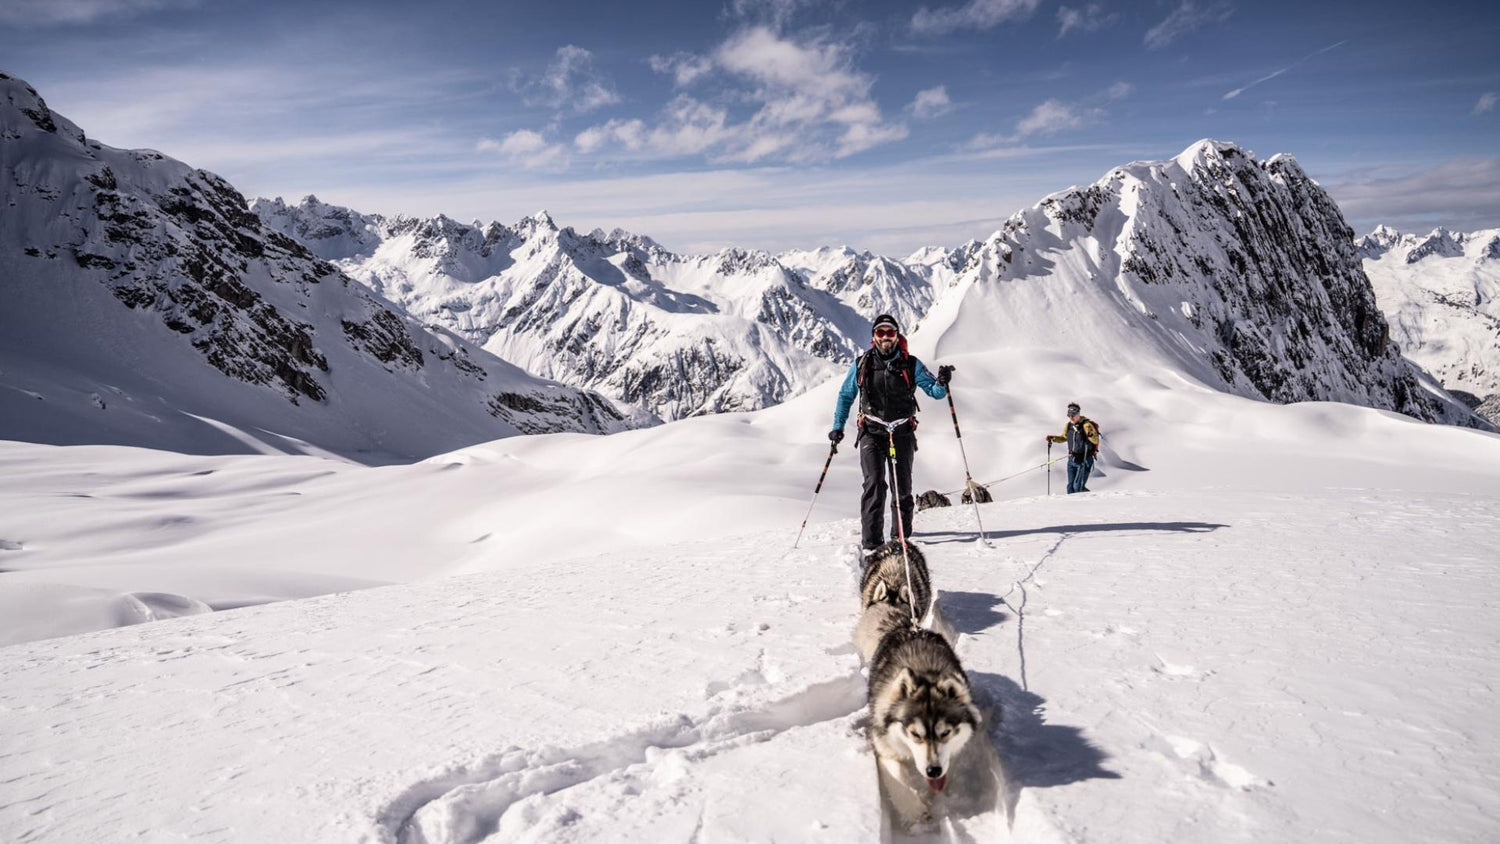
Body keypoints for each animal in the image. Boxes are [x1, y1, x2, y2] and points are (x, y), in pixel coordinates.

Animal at [870, 626, 984, 827]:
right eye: (915, 734)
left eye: (945, 732)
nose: (933, 771)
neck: (923, 670)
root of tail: (910, 627)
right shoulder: (886, 748)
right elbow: (898, 778)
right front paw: (915, 810)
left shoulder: (953, 752)